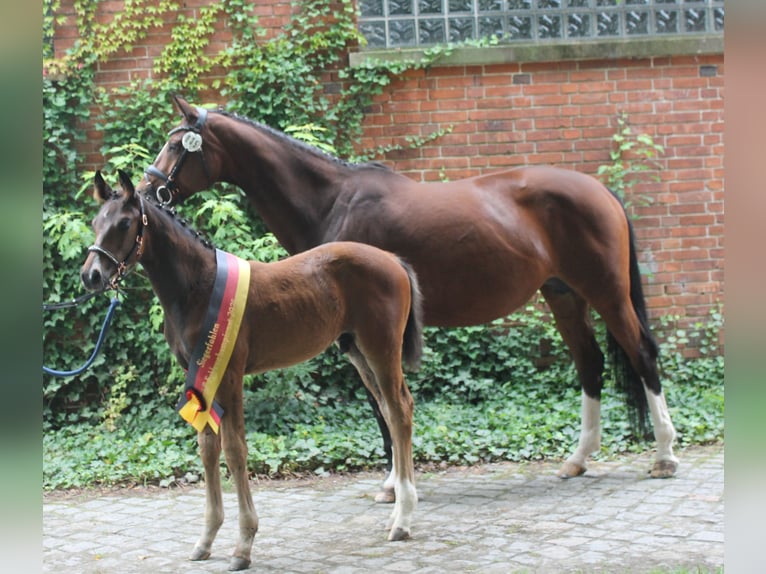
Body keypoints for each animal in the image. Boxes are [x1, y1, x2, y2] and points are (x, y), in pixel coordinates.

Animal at [80, 170, 423, 570]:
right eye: (95, 222)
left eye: (124, 223)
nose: (91, 276)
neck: (197, 286)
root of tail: (393, 260)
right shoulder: (199, 376)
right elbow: (207, 448)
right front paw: (206, 539)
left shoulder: (229, 374)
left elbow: (235, 450)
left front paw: (243, 545)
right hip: (358, 353)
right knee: (391, 409)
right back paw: (397, 512)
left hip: (381, 349)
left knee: (399, 411)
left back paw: (403, 520)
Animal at [140, 95, 679, 500]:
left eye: (176, 143)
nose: (146, 191)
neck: (333, 202)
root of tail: (601, 191)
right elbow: (384, 404)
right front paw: (394, 482)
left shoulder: (366, 336)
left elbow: (384, 404)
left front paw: (395, 485)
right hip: (564, 296)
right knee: (591, 363)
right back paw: (577, 460)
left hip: (607, 292)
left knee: (642, 353)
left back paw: (664, 456)